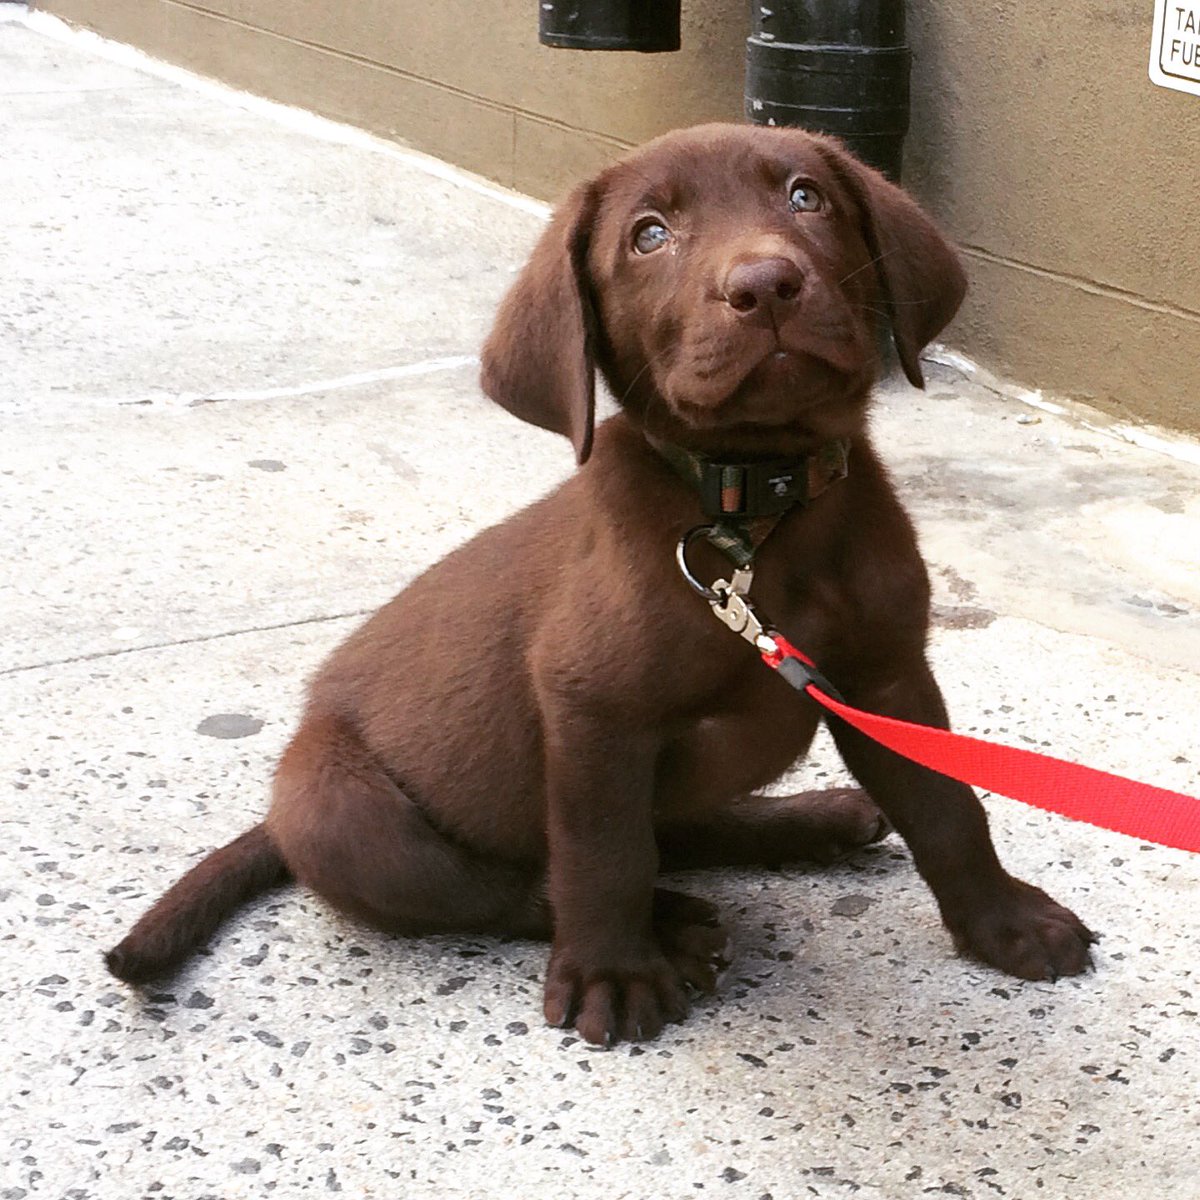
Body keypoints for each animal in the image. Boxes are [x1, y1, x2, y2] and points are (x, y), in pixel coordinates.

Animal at [105, 121, 1099, 1041]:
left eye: (806, 196)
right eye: (648, 235)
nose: (765, 284)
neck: (756, 516)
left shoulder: (887, 679)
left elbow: (948, 809)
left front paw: (1003, 923)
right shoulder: (591, 710)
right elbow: (602, 853)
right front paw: (614, 975)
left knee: (687, 827)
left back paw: (811, 820)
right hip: (340, 809)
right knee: (513, 886)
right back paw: (675, 925)